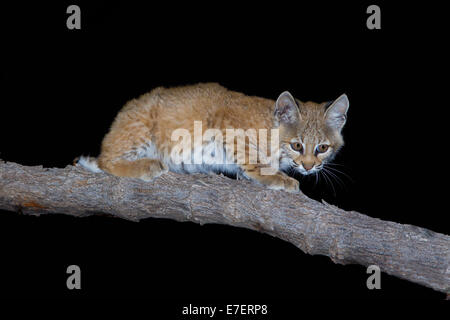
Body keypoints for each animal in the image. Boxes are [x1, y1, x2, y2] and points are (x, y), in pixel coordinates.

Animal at [79, 83, 350, 192]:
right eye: (296, 145)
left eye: (322, 148)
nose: (308, 167)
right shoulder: (226, 121)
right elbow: (252, 158)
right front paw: (277, 177)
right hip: (143, 121)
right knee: (105, 160)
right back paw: (147, 165)